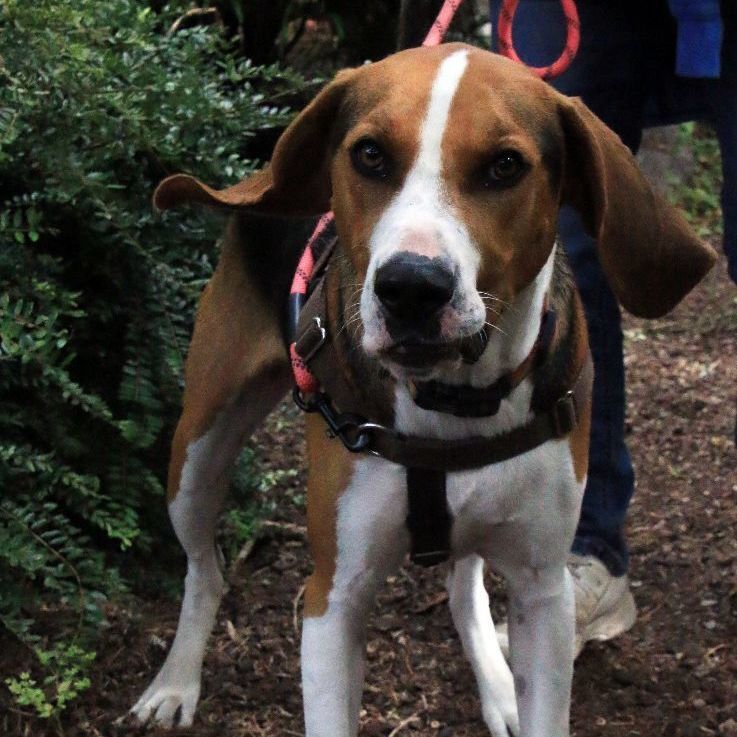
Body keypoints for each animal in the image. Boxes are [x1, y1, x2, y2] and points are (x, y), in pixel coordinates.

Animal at [131, 43, 712, 732]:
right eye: (369, 155)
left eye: (505, 166)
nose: (411, 287)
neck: (455, 400)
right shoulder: (333, 600)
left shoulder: (545, 590)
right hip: (197, 452)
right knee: (206, 570)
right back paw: (175, 682)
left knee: (463, 593)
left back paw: (498, 688)